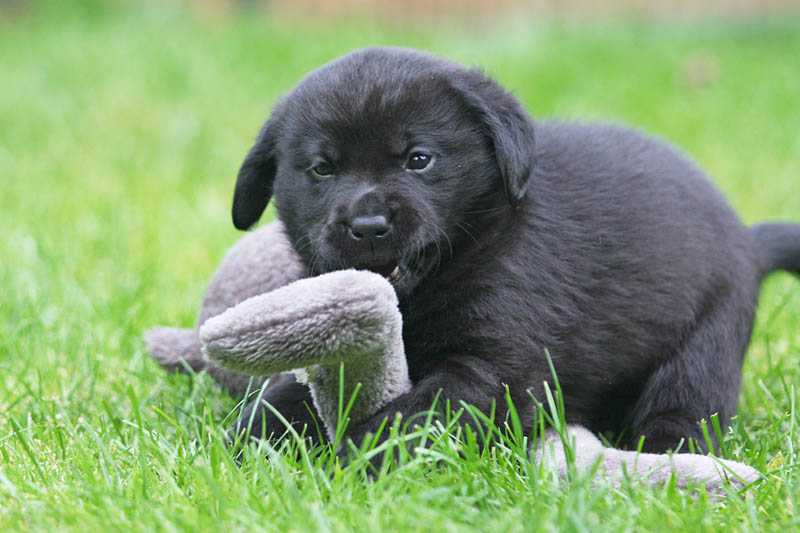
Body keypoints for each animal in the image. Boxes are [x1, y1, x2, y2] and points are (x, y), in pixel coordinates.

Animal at [228, 46, 796, 454]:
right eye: (322, 168)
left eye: (419, 159)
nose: (368, 227)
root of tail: (749, 240)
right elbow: (284, 394)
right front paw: (252, 440)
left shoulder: (492, 367)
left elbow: (419, 415)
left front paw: (361, 457)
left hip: (708, 337)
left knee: (686, 405)